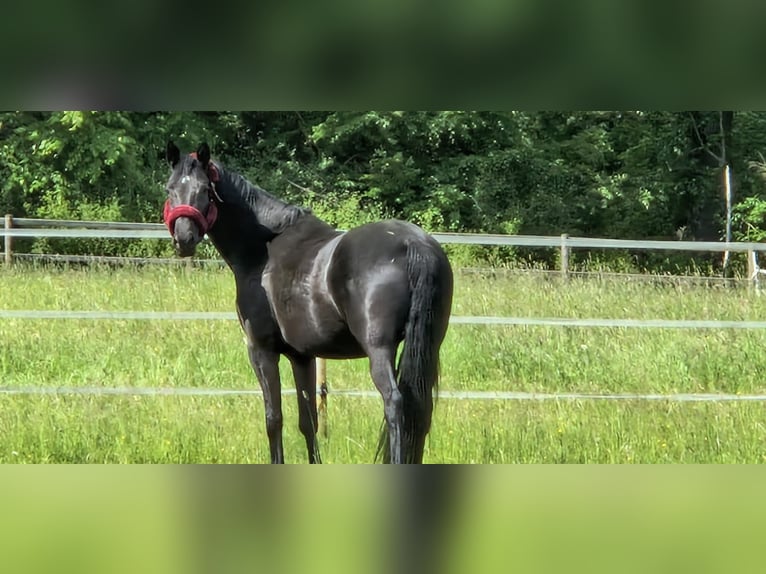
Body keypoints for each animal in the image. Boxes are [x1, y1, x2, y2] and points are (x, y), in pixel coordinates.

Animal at [160, 142, 450, 466]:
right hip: (428, 345)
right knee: (420, 410)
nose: (184, 239)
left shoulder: (262, 350)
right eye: (170, 188)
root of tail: (413, 244)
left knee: (395, 404)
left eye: (204, 190)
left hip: (379, 349)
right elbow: (307, 420)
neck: (263, 250)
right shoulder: (302, 356)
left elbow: (273, 418)